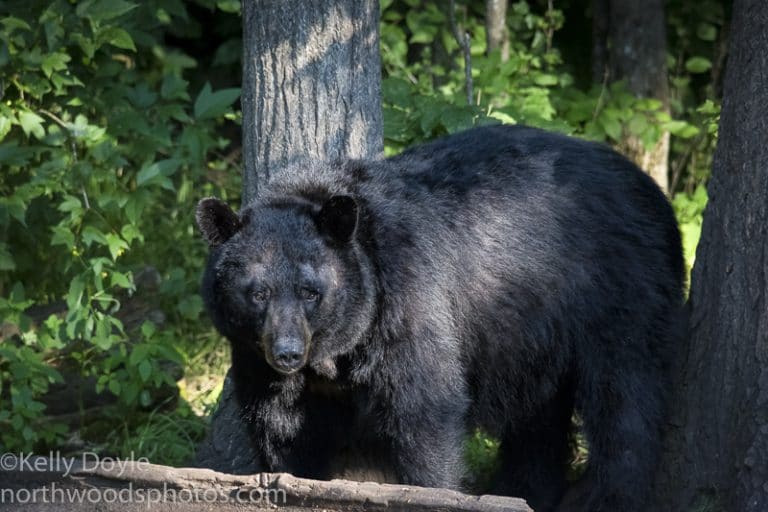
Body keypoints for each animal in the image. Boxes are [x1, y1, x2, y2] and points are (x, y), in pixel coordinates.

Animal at [196, 125, 684, 512]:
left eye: (310, 291)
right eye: (257, 292)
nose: (287, 354)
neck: (337, 350)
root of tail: (652, 190)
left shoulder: (408, 302)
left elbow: (424, 411)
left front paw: (434, 492)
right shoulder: (253, 354)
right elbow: (281, 427)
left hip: (621, 292)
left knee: (625, 398)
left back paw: (607, 494)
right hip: (535, 335)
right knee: (539, 420)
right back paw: (523, 490)